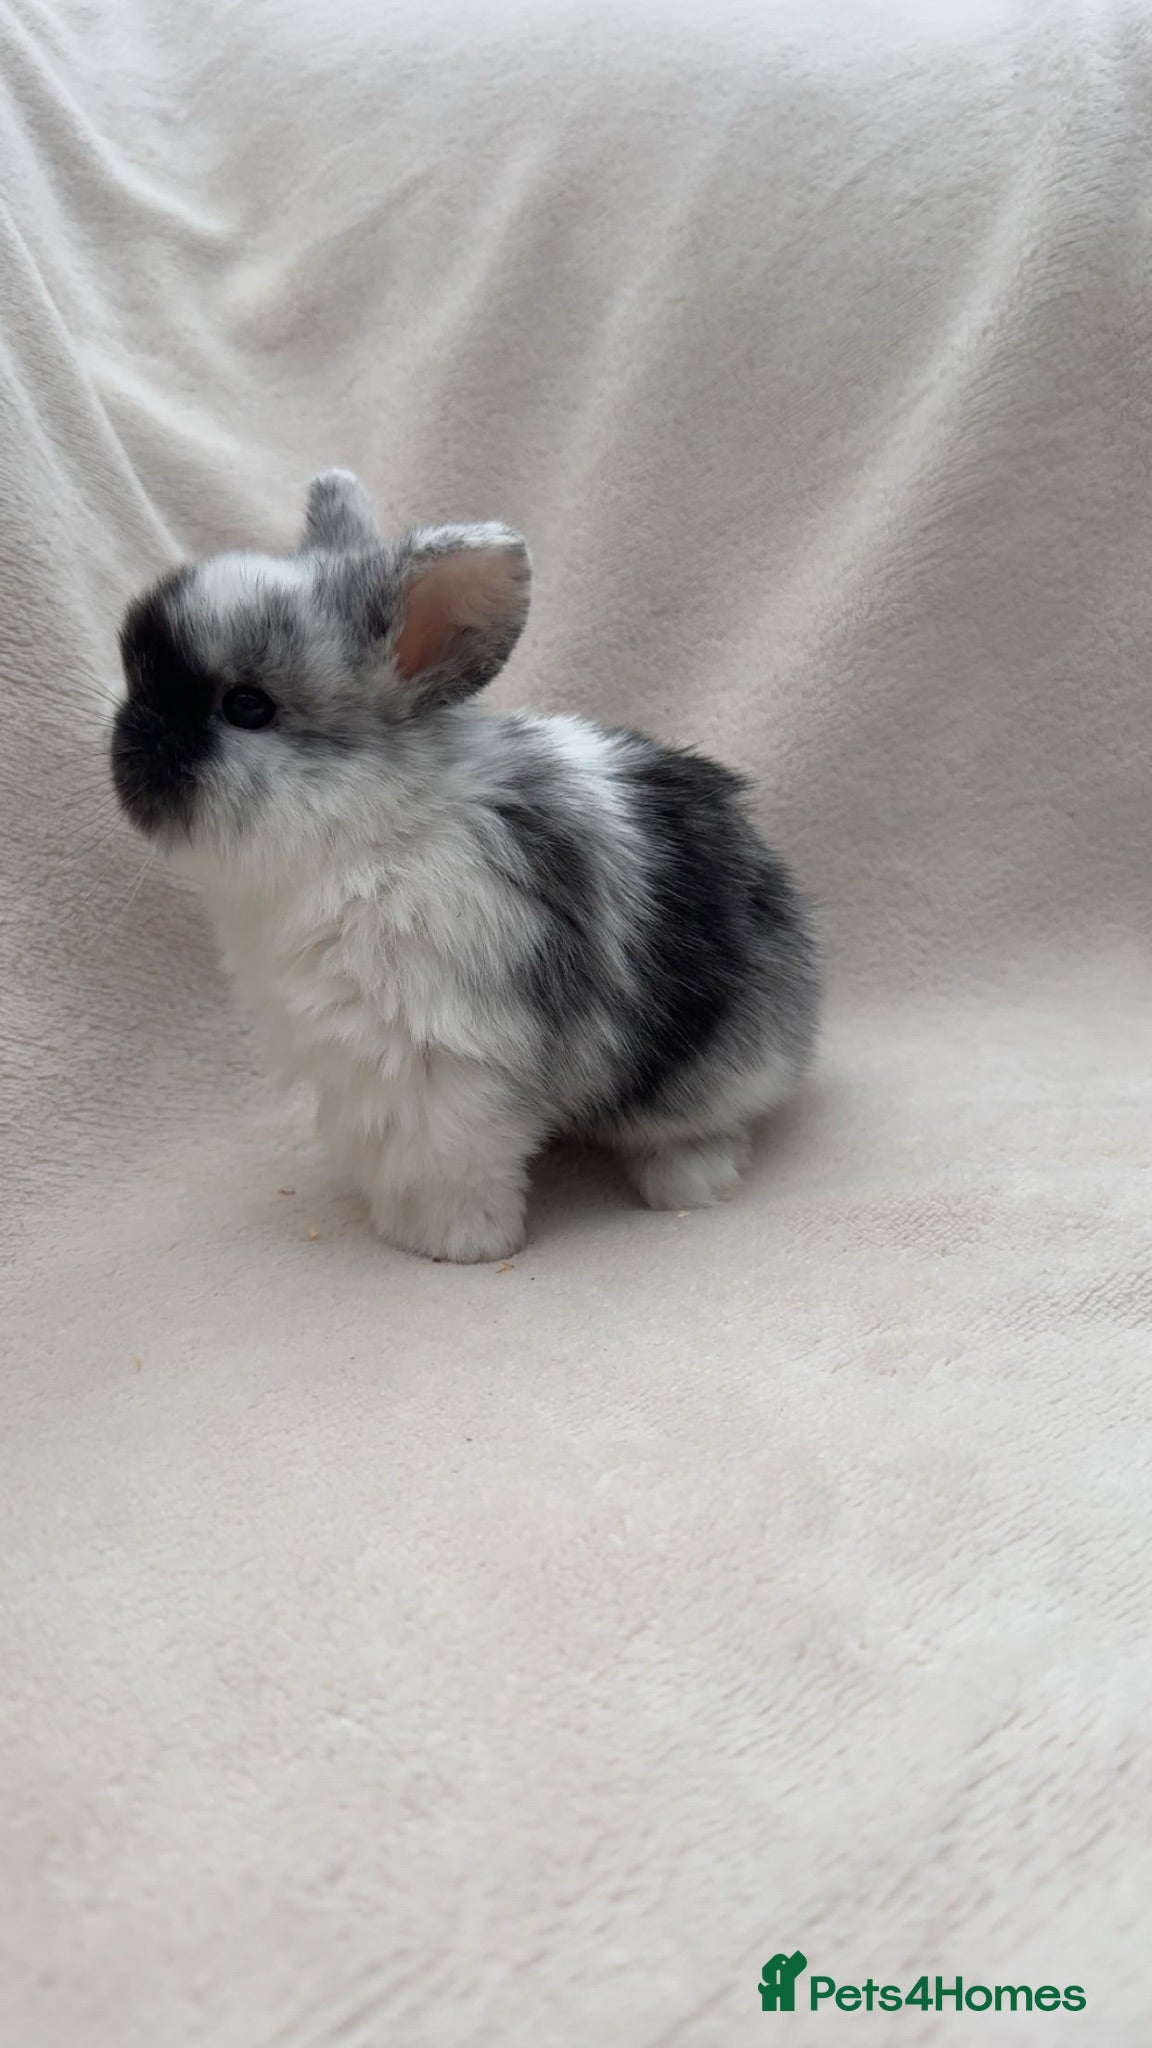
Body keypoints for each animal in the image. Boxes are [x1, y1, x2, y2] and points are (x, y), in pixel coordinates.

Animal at [111, 470, 820, 1263]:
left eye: (246, 707)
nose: (128, 748)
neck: (374, 835)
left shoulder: (436, 1058)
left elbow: (446, 1160)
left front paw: (456, 1245)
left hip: (712, 1066)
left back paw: (687, 1181)